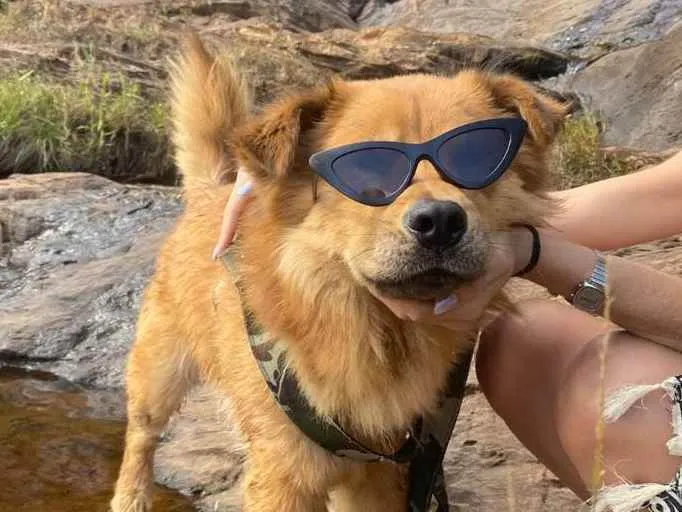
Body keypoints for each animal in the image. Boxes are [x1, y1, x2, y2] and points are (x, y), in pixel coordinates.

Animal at [111, 35, 565, 512]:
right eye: (366, 170)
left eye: (475, 158)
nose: (440, 220)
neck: (371, 328)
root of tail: (211, 189)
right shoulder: (284, 476)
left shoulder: (383, 469)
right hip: (159, 372)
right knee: (141, 435)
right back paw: (131, 495)